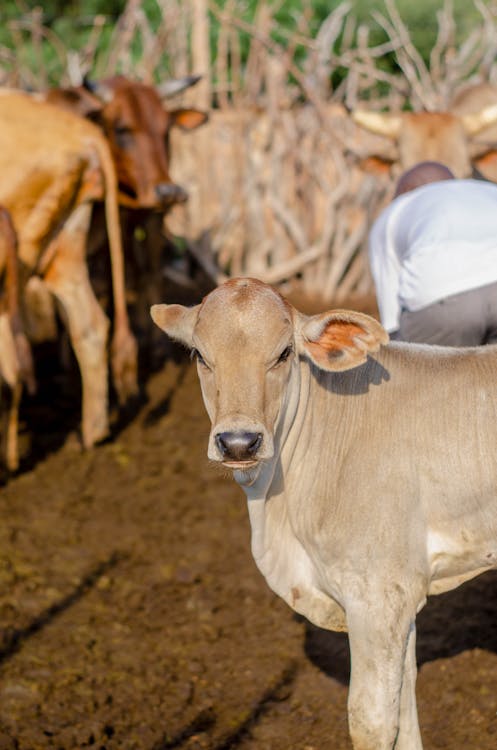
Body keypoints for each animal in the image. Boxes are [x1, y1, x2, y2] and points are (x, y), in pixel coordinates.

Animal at [150, 280, 496, 750]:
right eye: (201, 356)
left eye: (283, 353)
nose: (238, 442)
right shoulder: (399, 600)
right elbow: (404, 707)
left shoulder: (380, 593)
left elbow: (371, 720)